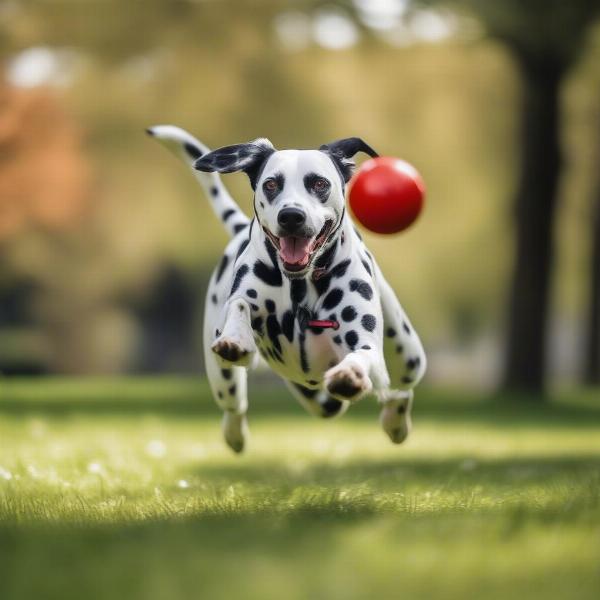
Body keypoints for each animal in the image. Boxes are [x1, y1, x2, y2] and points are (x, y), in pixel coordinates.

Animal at [147, 127, 424, 454]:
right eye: (271, 184)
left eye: (319, 183)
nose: (291, 215)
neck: (300, 287)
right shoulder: (242, 301)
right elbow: (239, 305)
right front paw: (236, 337)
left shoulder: (366, 345)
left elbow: (361, 356)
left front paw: (351, 374)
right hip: (226, 381)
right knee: (235, 407)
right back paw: (235, 434)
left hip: (408, 356)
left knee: (399, 390)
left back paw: (395, 422)